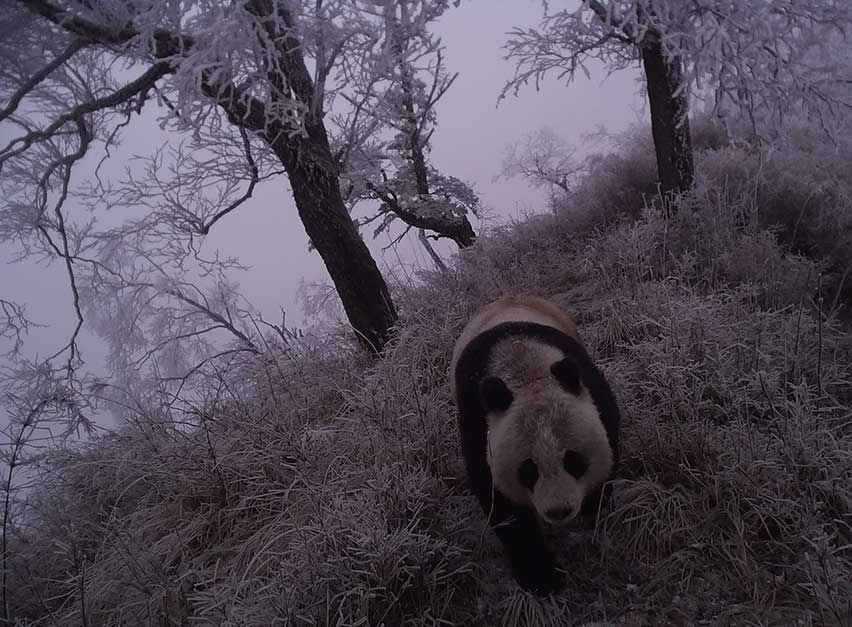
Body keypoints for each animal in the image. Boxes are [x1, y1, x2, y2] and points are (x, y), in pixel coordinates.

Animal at [449, 295, 621, 595]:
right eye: (528, 469)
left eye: (572, 460)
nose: (559, 511)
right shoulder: (476, 417)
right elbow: (499, 499)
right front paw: (541, 577)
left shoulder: (590, 386)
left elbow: (609, 438)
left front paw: (593, 506)